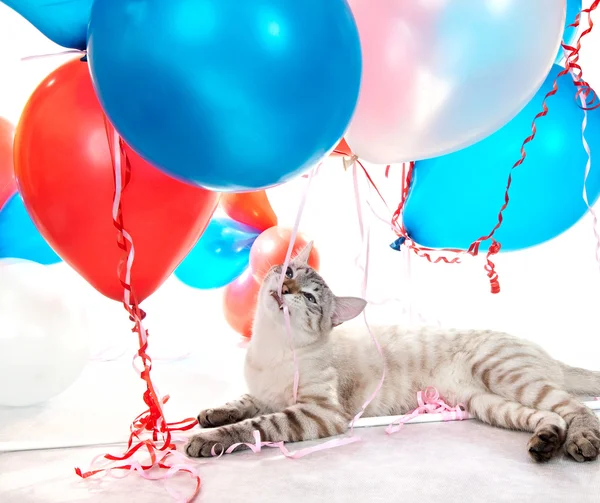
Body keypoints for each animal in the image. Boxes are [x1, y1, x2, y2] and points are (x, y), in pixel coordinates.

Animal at [185, 242, 600, 462]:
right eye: (287, 273)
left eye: (310, 298)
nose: (285, 290)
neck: (269, 347)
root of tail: (543, 349)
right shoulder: (263, 393)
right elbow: (241, 403)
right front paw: (210, 415)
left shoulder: (317, 412)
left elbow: (254, 425)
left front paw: (206, 440)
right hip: (486, 403)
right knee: (550, 417)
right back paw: (545, 444)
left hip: (502, 375)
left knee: (574, 408)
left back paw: (580, 442)